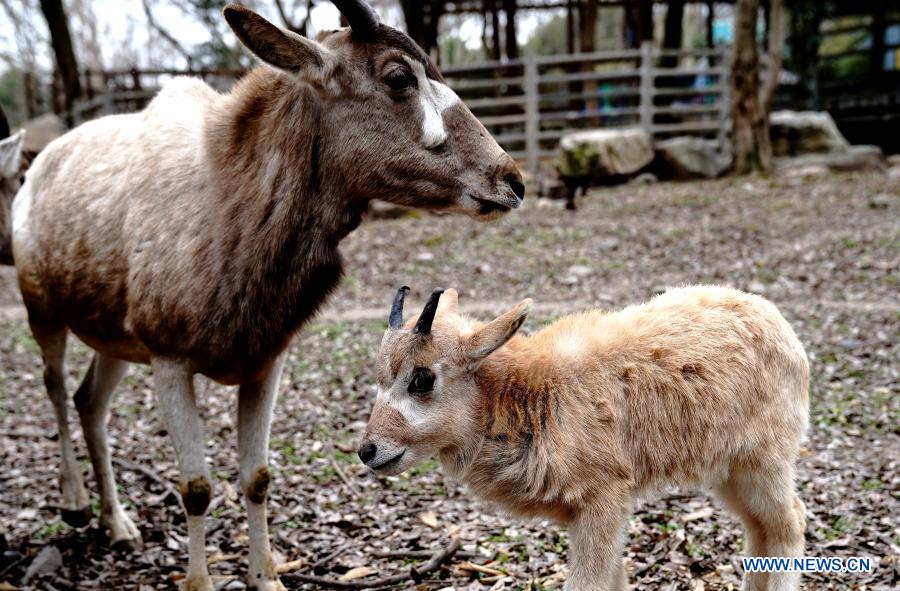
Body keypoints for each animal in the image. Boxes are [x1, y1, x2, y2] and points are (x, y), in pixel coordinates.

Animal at [362, 284, 812, 588]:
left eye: (422, 379)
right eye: (380, 377)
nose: (368, 451)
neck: (531, 392)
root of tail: (778, 324)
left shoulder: (604, 504)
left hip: (762, 463)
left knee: (789, 524)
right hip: (729, 472)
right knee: (759, 529)